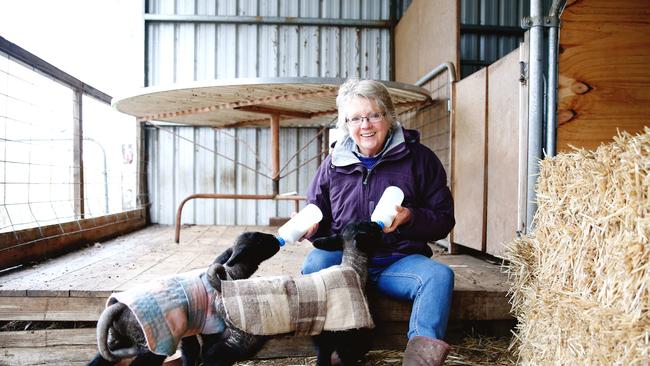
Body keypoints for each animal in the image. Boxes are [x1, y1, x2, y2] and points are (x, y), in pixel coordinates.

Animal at [85, 232, 278, 366]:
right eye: (260, 240)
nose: (277, 240)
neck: (231, 271)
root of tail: (118, 307)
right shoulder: (211, 326)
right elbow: (206, 350)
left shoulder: (191, 329)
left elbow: (191, 352)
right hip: (152, 346)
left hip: (118, 340)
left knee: (99, 360)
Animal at [206, 220, 380, 366]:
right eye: (370, 227)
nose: (377, 223)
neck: (352, 267)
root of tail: (222, 286)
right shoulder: (343, 329)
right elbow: (347, 354)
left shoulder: (323, 334)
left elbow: (324, 355)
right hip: (245, 337)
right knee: (216, 354)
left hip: (232, 331)